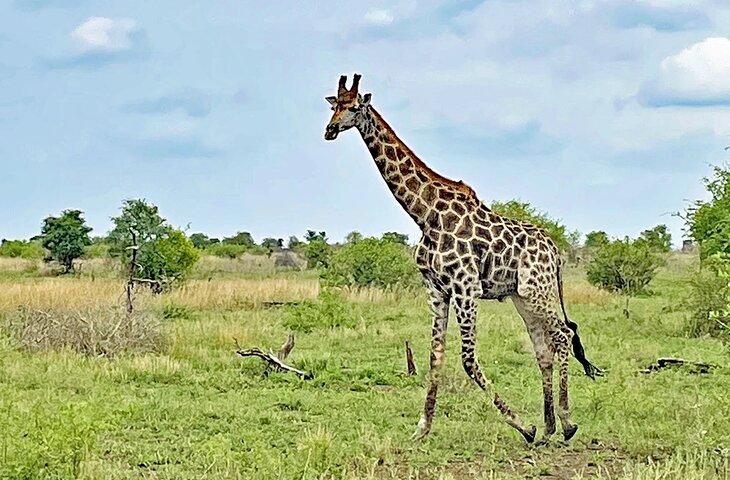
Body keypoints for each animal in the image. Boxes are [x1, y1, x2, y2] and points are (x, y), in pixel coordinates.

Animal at [324, 74, 601, 444]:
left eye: (354, 107)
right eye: (334, 105)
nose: (330, 129)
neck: (425, 215)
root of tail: (555, 251)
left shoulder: (466, 287)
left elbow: (468, 360)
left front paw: (522, 426)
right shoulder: (436, 290)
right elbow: (434, 356)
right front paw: (422, 429)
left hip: (536, 290)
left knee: (564, 335)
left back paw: (566, 423)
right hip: (522, 296)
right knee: (544, 347)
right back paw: (549, 427)